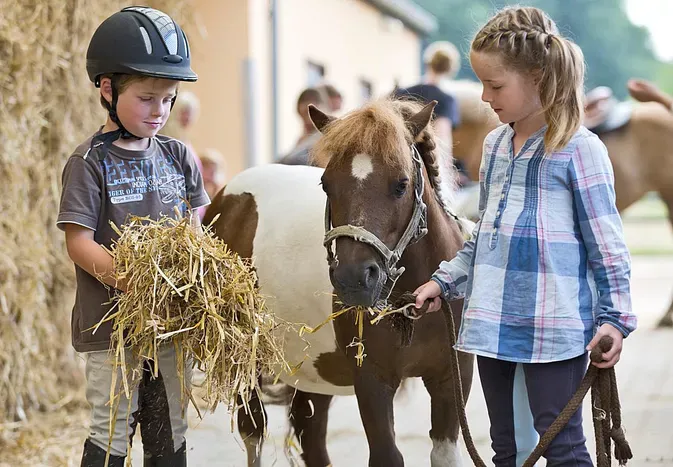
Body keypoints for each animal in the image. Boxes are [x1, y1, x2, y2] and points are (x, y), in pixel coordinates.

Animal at [205, 99, 472, 467]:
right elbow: (387, 455)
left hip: (314, 375)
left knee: (311, 438)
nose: (353, 279)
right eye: (326, 185)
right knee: (254, 430)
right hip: (245, 362)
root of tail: (226, 200)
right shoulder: (372, 381)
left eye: (401, 184)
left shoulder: (450, 381)